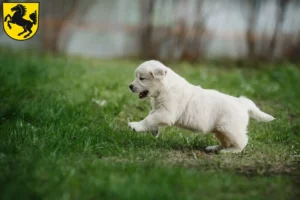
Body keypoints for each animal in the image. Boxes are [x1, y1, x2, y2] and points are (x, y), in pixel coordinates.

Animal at [127, 60, 274, 152]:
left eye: (142, 78)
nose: (130, 86)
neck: (164, 87)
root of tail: (242, 103)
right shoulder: (158, 110)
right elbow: (151, 117)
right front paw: (154, 131)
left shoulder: (166, 112)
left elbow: (149, 119)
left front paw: (135, 126)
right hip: (220, 130)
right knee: (225, 142)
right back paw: (214, 148)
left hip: (229, 128)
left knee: (241, 141)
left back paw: (231, 151)